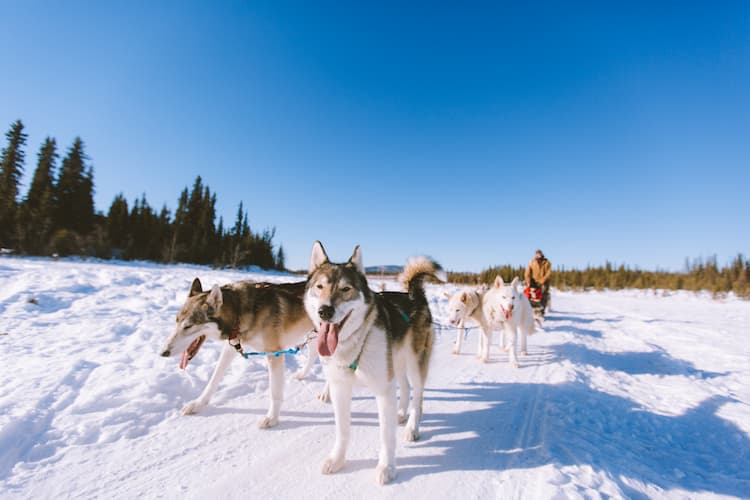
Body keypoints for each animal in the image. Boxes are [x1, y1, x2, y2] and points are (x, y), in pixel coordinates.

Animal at [306, 242, 446, 484]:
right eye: (320, 286)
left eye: (345, 289)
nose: (324, 311)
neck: (355, 343)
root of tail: (415, 296)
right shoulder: (340, 388)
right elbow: (343, 429)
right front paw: (337, 460)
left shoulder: (383, 390)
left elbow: (386, 435)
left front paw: (387, 467)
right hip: (396, 363)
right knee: (405, 387)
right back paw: (400, 414)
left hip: (415, 364)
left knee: (417, 398)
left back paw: (412, 427)